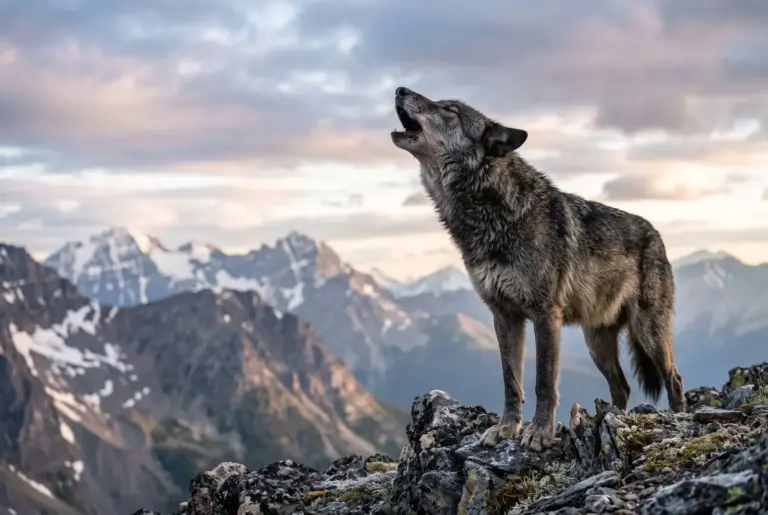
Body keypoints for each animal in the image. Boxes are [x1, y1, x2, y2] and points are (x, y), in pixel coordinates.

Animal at [390, 87, 685, 452]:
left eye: (451, 110)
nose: (400, 89)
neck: (494, 211)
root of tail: (656, 233)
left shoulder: (546, 315)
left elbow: (544, 381)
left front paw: (540, 434)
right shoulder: (504, 316)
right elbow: (510, 381)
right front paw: (506, 430)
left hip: (648, 332)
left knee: (674, 377)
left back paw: (678, 417)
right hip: (597, 343)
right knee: (622, 386)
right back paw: (614, 420)